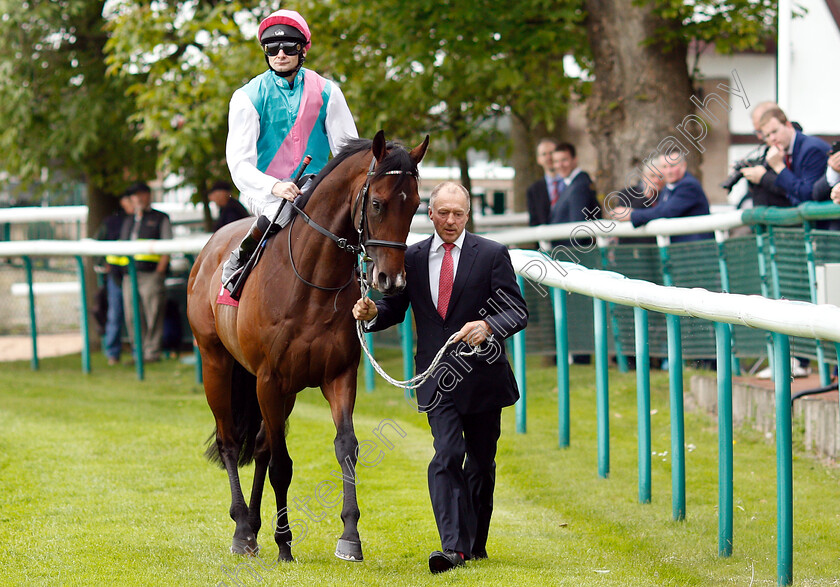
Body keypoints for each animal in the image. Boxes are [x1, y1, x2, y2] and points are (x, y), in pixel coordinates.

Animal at [188, 132, 430, 564]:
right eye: (377, 202)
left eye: (417, 203)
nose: (392, 279)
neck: (312, 284)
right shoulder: (269, 379)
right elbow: (282, 465)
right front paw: (285, 543)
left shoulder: (338, 375)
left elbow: (345, 447)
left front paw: (350, 536)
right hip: (217, 363)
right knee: (230, 441)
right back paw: (241, 529)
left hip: (280, 391)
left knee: (261, 446)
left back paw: (253, 527)